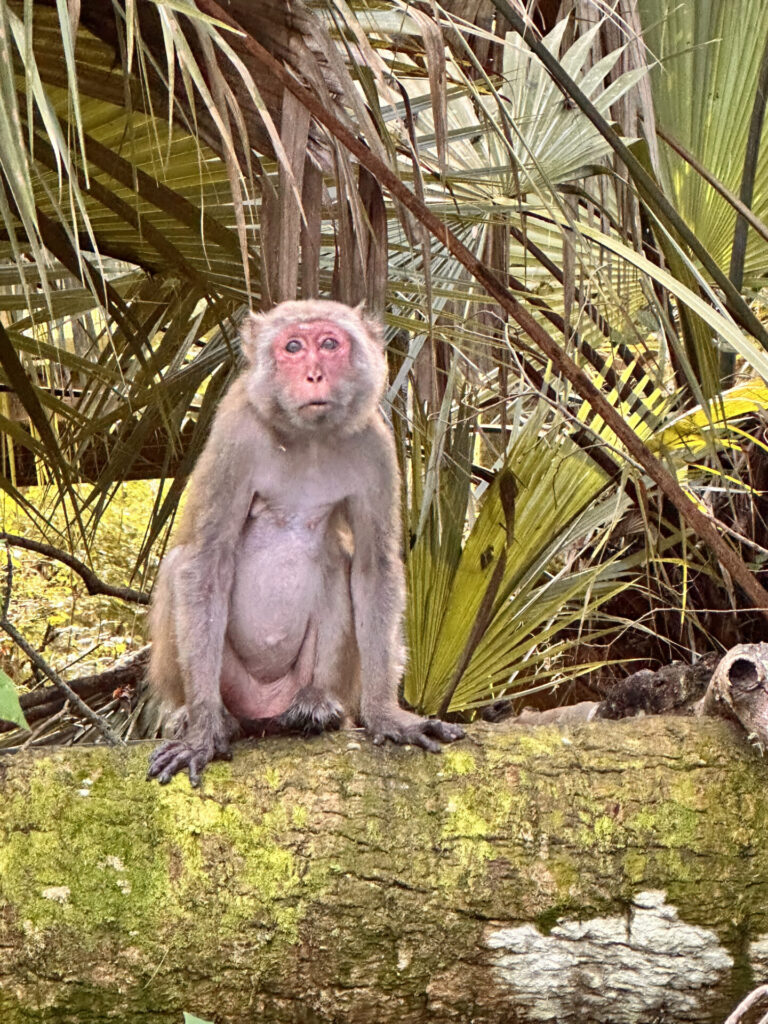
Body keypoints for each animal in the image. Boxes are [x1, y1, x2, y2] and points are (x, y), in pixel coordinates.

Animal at [148, 299, 466, 782]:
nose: (314, 374)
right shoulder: (235, 431)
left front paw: (386, 714)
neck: (308, 437)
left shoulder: (374, 443)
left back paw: (315, 707)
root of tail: (263, 710)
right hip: (231, 683)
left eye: (329, 344)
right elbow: (205, 561)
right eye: (293, 347)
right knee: (178, 567)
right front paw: (201, 735)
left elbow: (373, 567)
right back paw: (206, 716)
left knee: (337, 566)